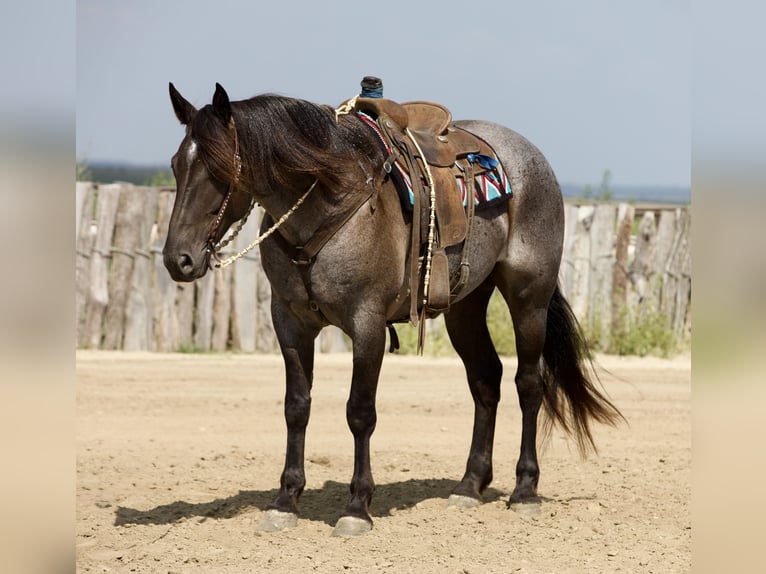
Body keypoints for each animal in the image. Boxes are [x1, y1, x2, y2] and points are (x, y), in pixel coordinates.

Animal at [162, 82, 623, 536]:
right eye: (176, 165)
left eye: (219, 169)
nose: (177, 259)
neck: (328, 203)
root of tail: (531, 156)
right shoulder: (290, 323)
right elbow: (297, 407)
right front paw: (285, 500)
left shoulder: (367, 325)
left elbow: (360, 412)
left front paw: (356, 507)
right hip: (465, 306)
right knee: (485, 380)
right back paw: (469, 485)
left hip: (530, 297)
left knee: (529, 384)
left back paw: (525, 490)